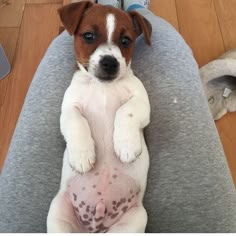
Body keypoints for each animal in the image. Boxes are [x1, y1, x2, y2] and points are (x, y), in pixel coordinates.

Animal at [47, 0, 152, 233]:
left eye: (125, 40)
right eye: (89, 36)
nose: (110, 62)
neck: (102, 87)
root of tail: (95, 227)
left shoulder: (141, 101)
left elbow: (126, 112)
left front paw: (126, 145)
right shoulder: (68, 109)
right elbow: (77, 123)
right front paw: (82, 155)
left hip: (134, 220)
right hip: (58, 213)